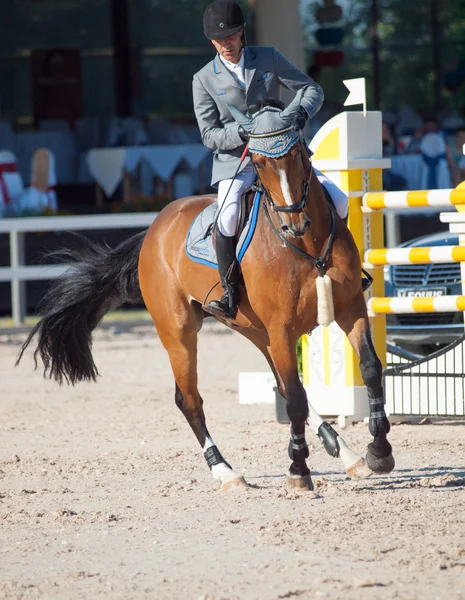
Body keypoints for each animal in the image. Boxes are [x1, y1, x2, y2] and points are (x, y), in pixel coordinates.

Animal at [19, 92, 396, 488]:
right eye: (257, 162)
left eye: (297, 154)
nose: (294, 224)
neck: (305, 245)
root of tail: (154, 228)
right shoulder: (281, 328)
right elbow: (293, 399)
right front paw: (298, 470)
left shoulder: (349, 308)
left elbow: (370, 369)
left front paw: (379, 452)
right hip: (181, 332)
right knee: (189, 399)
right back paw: (225, 470)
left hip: (254, 330)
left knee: (282, 385)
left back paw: (346, 453)